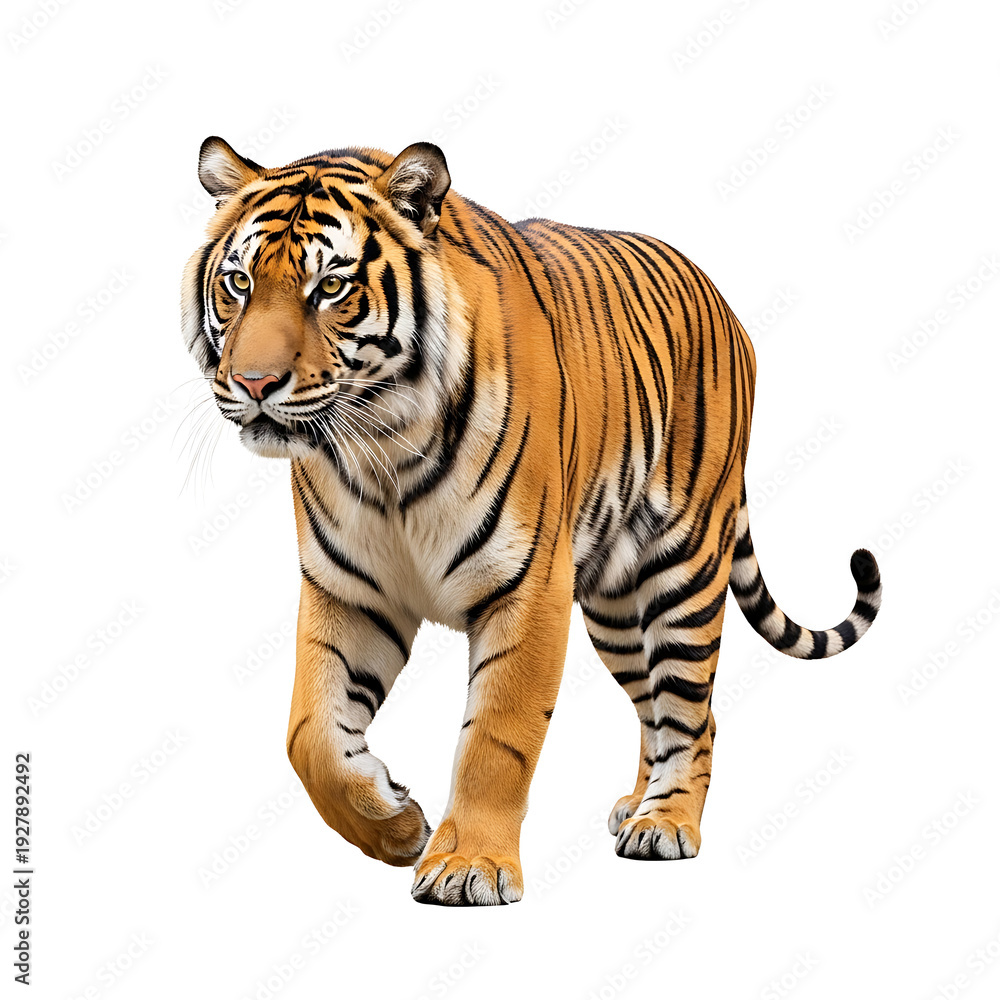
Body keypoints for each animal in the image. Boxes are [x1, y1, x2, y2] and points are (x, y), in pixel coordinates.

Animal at [181, 136, 882, 906]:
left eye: (330, 288)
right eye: (239, 282)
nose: (253, 384)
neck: (383, 447)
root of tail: (723, 302)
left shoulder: (528, 588)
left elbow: (497, 736)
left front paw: (469, 866)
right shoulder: (350, 593)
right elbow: (310, 735)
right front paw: (395, 824)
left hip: (685, 568)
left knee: (692, 711)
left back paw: (666, 823)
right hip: (614, 605)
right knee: (660, 708)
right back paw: (635, 805)